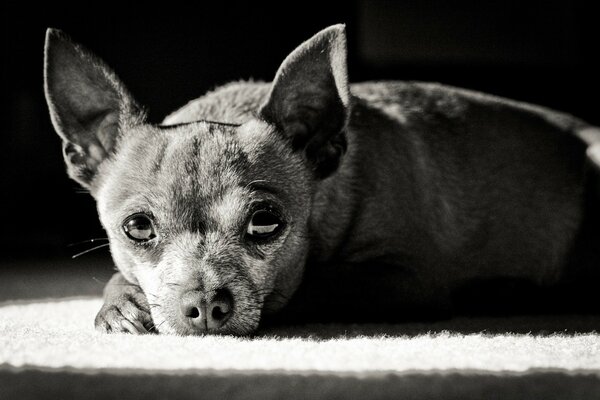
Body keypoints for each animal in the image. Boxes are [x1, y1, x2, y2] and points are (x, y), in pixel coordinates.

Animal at [43, 22, 600, 334]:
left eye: (265, 222)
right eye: (137, 228)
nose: (203, 304)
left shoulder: (405, 278)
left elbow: (311, 284)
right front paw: (120, 302)